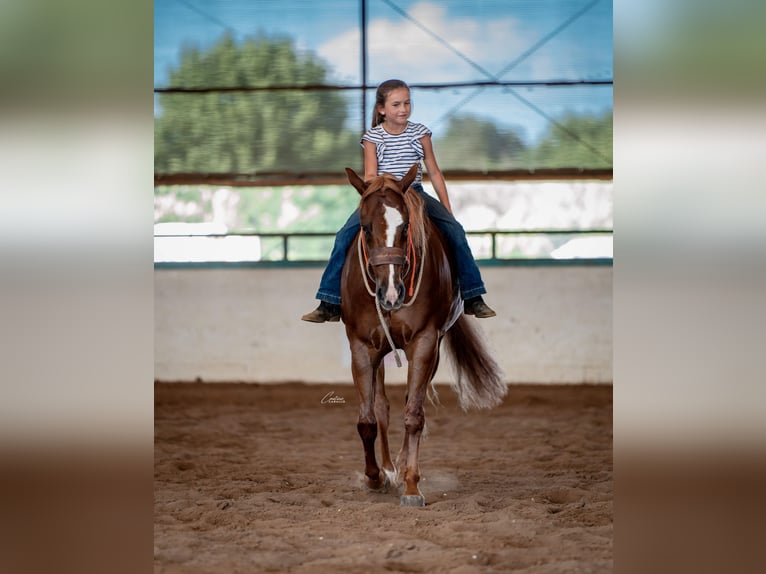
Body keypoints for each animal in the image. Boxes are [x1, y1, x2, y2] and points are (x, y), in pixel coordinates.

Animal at [340, 164, 507, 507]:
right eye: (365, 228)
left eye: (405, 229)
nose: (390, 293)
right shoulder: (361, 347)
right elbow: (367, 420)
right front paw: (375, 477)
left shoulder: (425, 343)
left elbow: (414, 415)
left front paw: (411, 485)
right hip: (380, 352)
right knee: (382, 408)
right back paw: (388, 469)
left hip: (432, 351)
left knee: (408, 404)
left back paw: (401, 468)